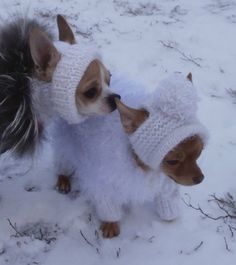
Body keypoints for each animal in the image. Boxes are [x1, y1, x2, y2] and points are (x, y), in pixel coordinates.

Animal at [52, 71, 207, 237]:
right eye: (173, 161)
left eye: (199, 153)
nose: (200, 179)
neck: (142, 166)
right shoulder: (104, 183)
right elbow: (107, 204)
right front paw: (111, 224)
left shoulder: (165, 180)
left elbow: (166, 198)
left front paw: (170, 216)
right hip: (67, 146)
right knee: (64, 161)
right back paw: (63, 179)